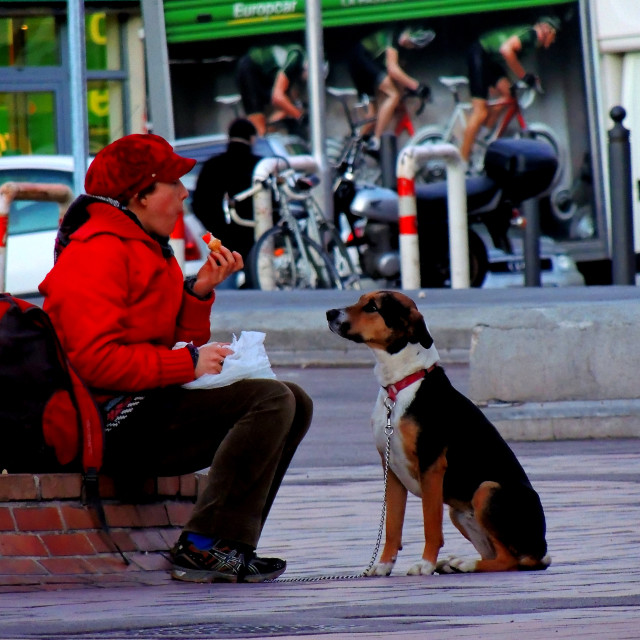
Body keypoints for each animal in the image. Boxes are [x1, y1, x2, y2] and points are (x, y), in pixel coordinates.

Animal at [324, 290, 552, 576]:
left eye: (372, 307)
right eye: (359, 300)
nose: (329, 313)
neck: (400, 385)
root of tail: (540, 549)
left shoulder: (431, 466)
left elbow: (430, 524)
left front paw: (425, 564)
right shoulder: (391, 470)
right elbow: (392, 526)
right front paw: (384, 564)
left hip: (486, 490)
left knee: (509, 560)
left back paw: (464, 563)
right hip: (460, 512)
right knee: (499, 555)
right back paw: (454, 564)